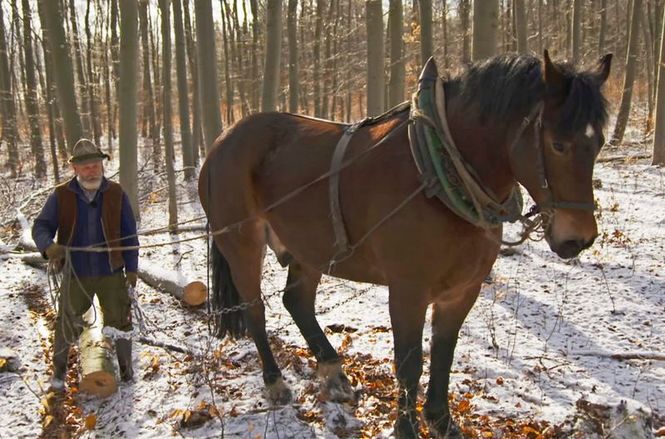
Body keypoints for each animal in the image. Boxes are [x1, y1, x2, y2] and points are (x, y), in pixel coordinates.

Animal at [198, 50, 612, 436]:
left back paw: (333, 372)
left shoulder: (462, 291)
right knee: (255, 309)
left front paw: (441, 420)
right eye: (558, 144)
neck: (438, 171)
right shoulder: (407, 291)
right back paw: (275, 382)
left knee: (296, 301)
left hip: (310, 248)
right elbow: (410, 364)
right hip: (242, 243)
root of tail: (222, 140)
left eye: (599, 143)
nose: (578, 238)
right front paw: (407, 427)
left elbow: (444, 354)